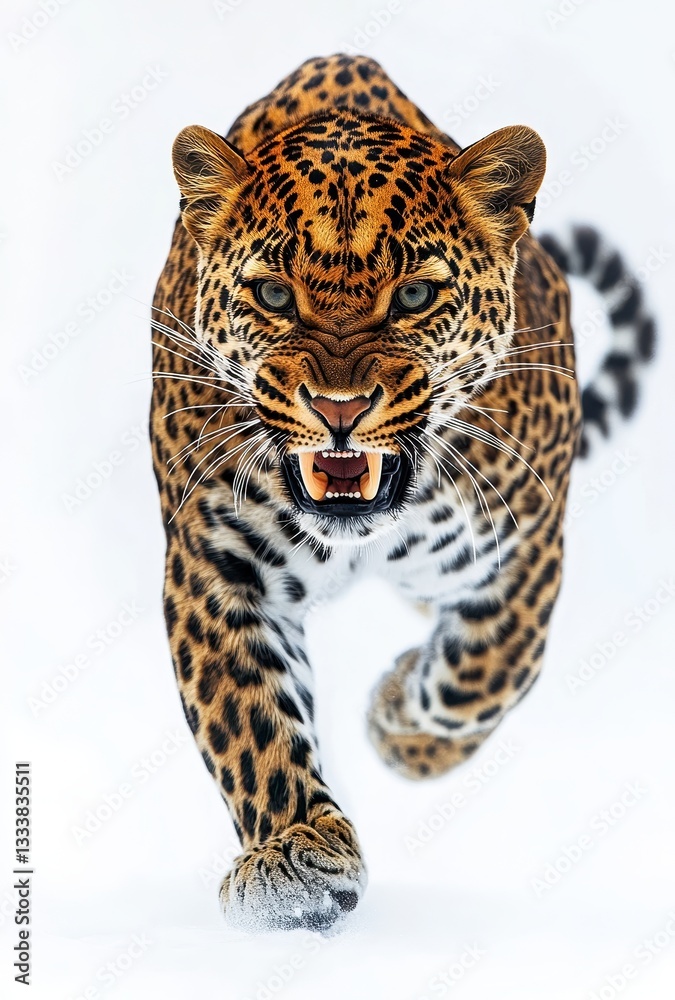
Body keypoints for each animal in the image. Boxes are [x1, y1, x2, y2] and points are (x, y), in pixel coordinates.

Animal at [150, 54, 655, 933]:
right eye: (273, 295)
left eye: (415, 296)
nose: (339, 409)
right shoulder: (212, 563)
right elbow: (246, 713)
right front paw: (292, 857)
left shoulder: (527, 542)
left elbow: (485, 672)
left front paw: (398, 724)